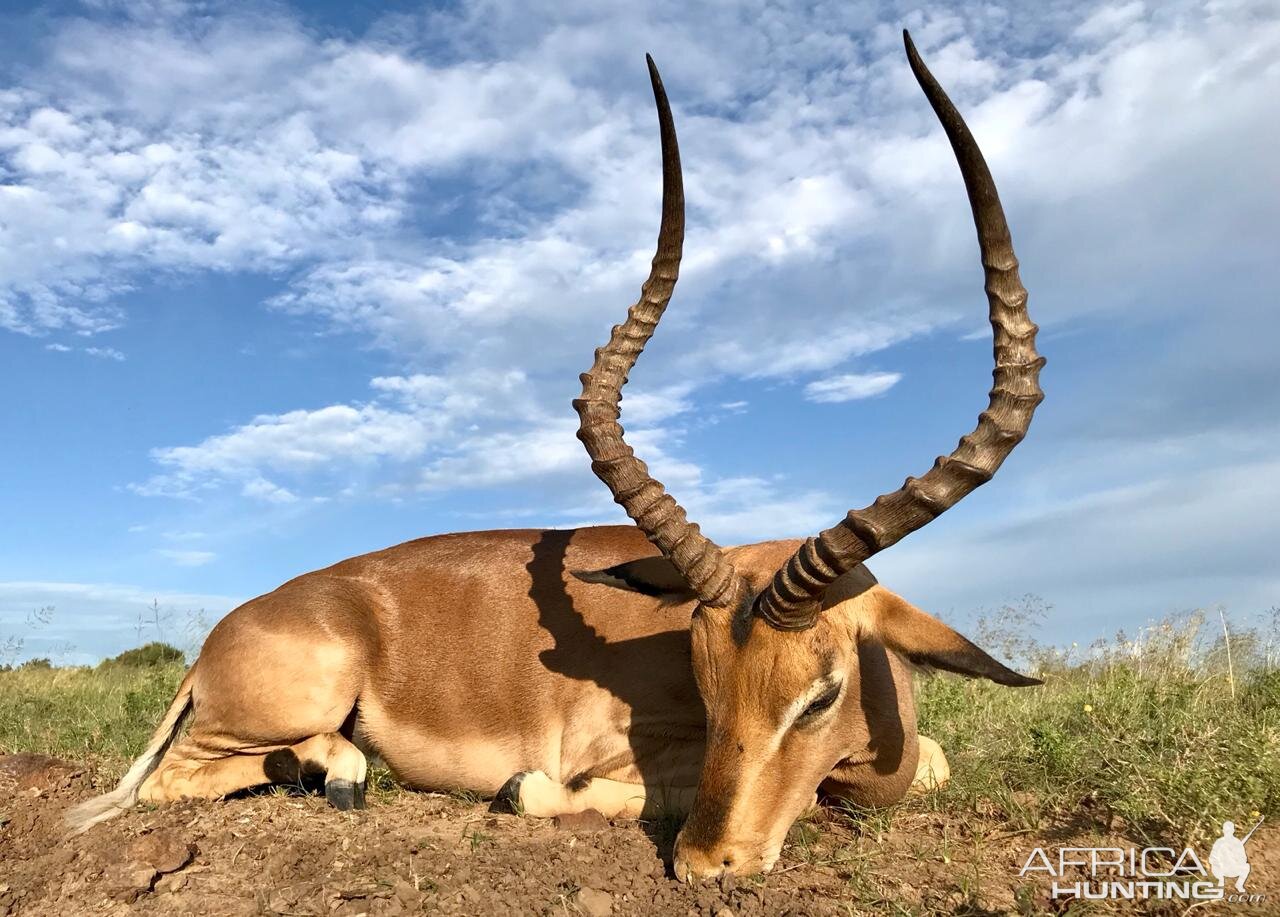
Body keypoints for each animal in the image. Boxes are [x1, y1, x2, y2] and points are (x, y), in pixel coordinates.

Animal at [67, 32, 1039, 886]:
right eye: (705, 674)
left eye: (822, 692)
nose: (706, 864)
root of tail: (222, 635)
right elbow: (556, 788)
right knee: (175, 778)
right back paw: (341, 776)